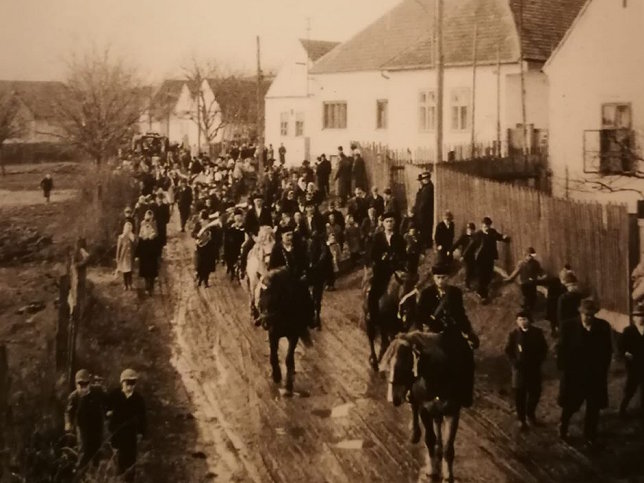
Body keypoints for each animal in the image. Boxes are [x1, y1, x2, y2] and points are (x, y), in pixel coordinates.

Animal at [255, 266, 314, 396]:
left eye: (275, 298)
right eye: (260, 298)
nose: (264, 322)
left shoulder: (294, 335)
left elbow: (288, 357)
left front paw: (288, 384)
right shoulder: (273, 334)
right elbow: (273, 355)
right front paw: (276, 375)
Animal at [380, 332, 470, 483]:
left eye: (404, 365)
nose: (393, 399)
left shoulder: (453, 411)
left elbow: (448, 448)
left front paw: (448, 475)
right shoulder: (425, 410)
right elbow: (429, 439)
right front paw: (431, 470)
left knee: (437, 421)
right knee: (415, 408)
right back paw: (415, 434)